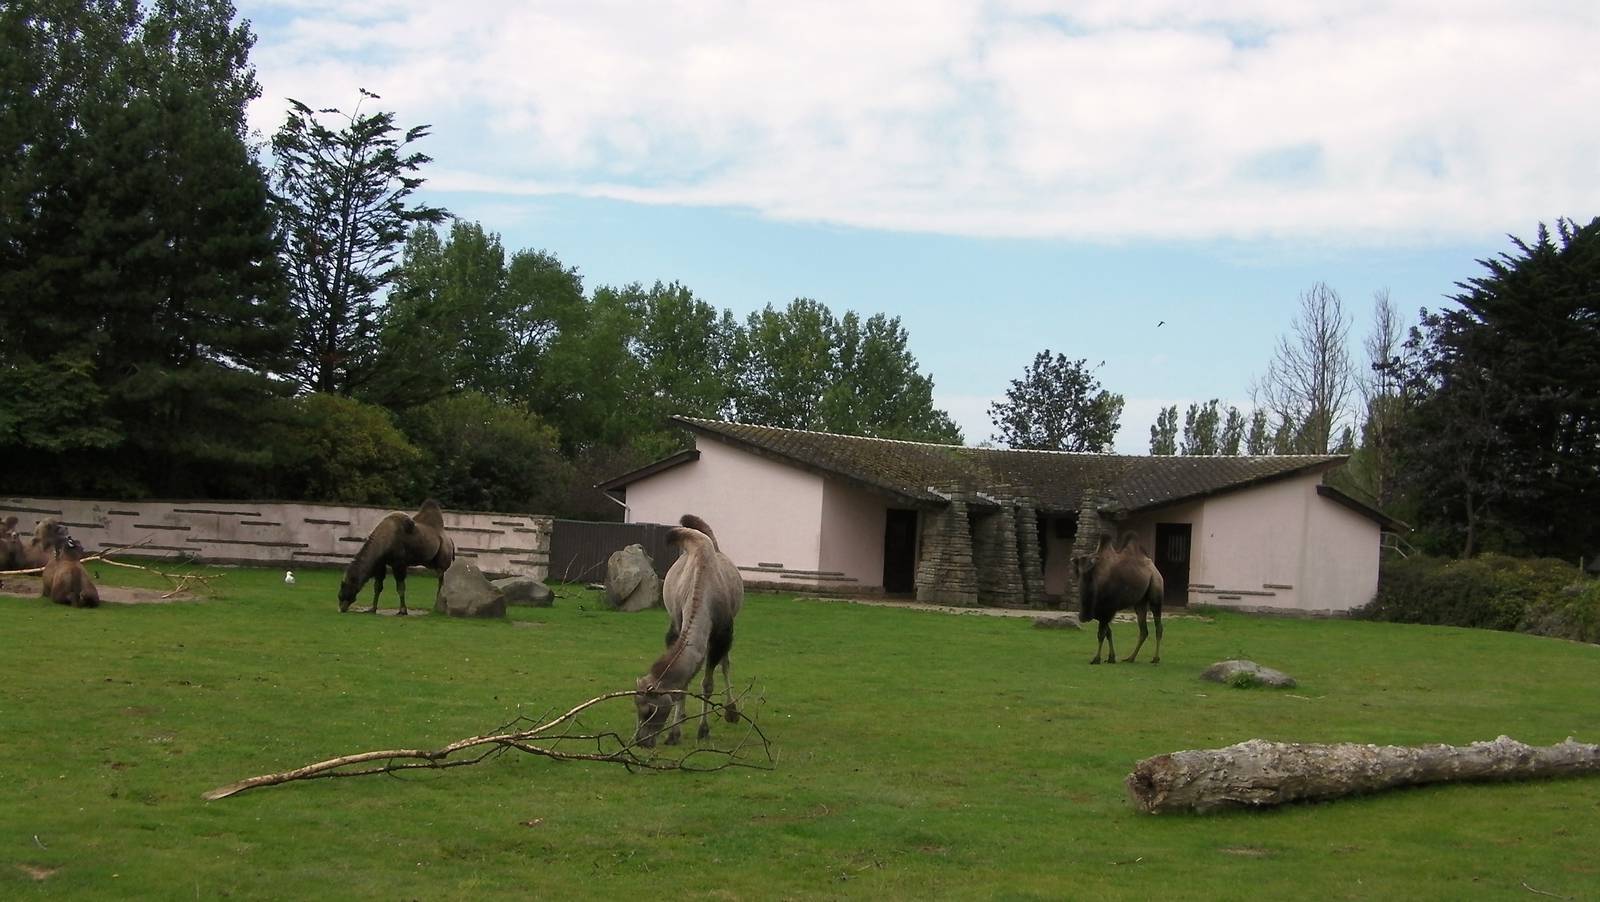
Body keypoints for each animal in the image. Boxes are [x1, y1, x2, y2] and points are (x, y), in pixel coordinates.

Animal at [634, 514, 744, 748]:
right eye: (637, 707)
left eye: (650, 710)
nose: (641, 742)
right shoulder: (677, 624)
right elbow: (683, 684)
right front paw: (674, 733)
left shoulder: (722, 633)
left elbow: (708, 683)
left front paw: (703, 729)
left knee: (725, 663)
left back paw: (731, 712)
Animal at [1076, 532, 1164, 664]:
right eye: (1079, 567)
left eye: (1090, 564)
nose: (1085, 570)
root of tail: (1154, 568)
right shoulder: (1101, 612)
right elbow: (1108, 633)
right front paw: (1111, 658)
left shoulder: (1108, 609)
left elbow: (1101, 634)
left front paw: (1096, 659)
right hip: (1140, 602)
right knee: (1143, 630)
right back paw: (1130, 658)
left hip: (1156, 588)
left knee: (1158, 626)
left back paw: (1155, 658)